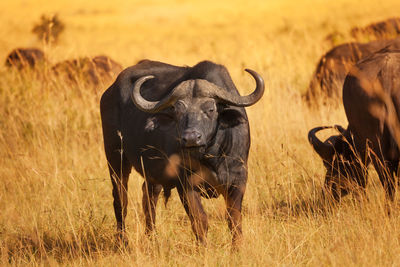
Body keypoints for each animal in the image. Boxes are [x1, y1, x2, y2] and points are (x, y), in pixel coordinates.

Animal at [100, 60, 264, 247]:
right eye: (178, 111)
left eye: (210, 109)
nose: (191, 138)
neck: (211, 157)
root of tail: (109, 93)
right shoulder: (185, 184)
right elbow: (200, 220)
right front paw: (204, 248)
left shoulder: (238, 180)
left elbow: (234, 219)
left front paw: (236, 248)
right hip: (115, 158)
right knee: (121, 199)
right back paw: (123, 241)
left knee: (149, 197)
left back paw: (151, 237)